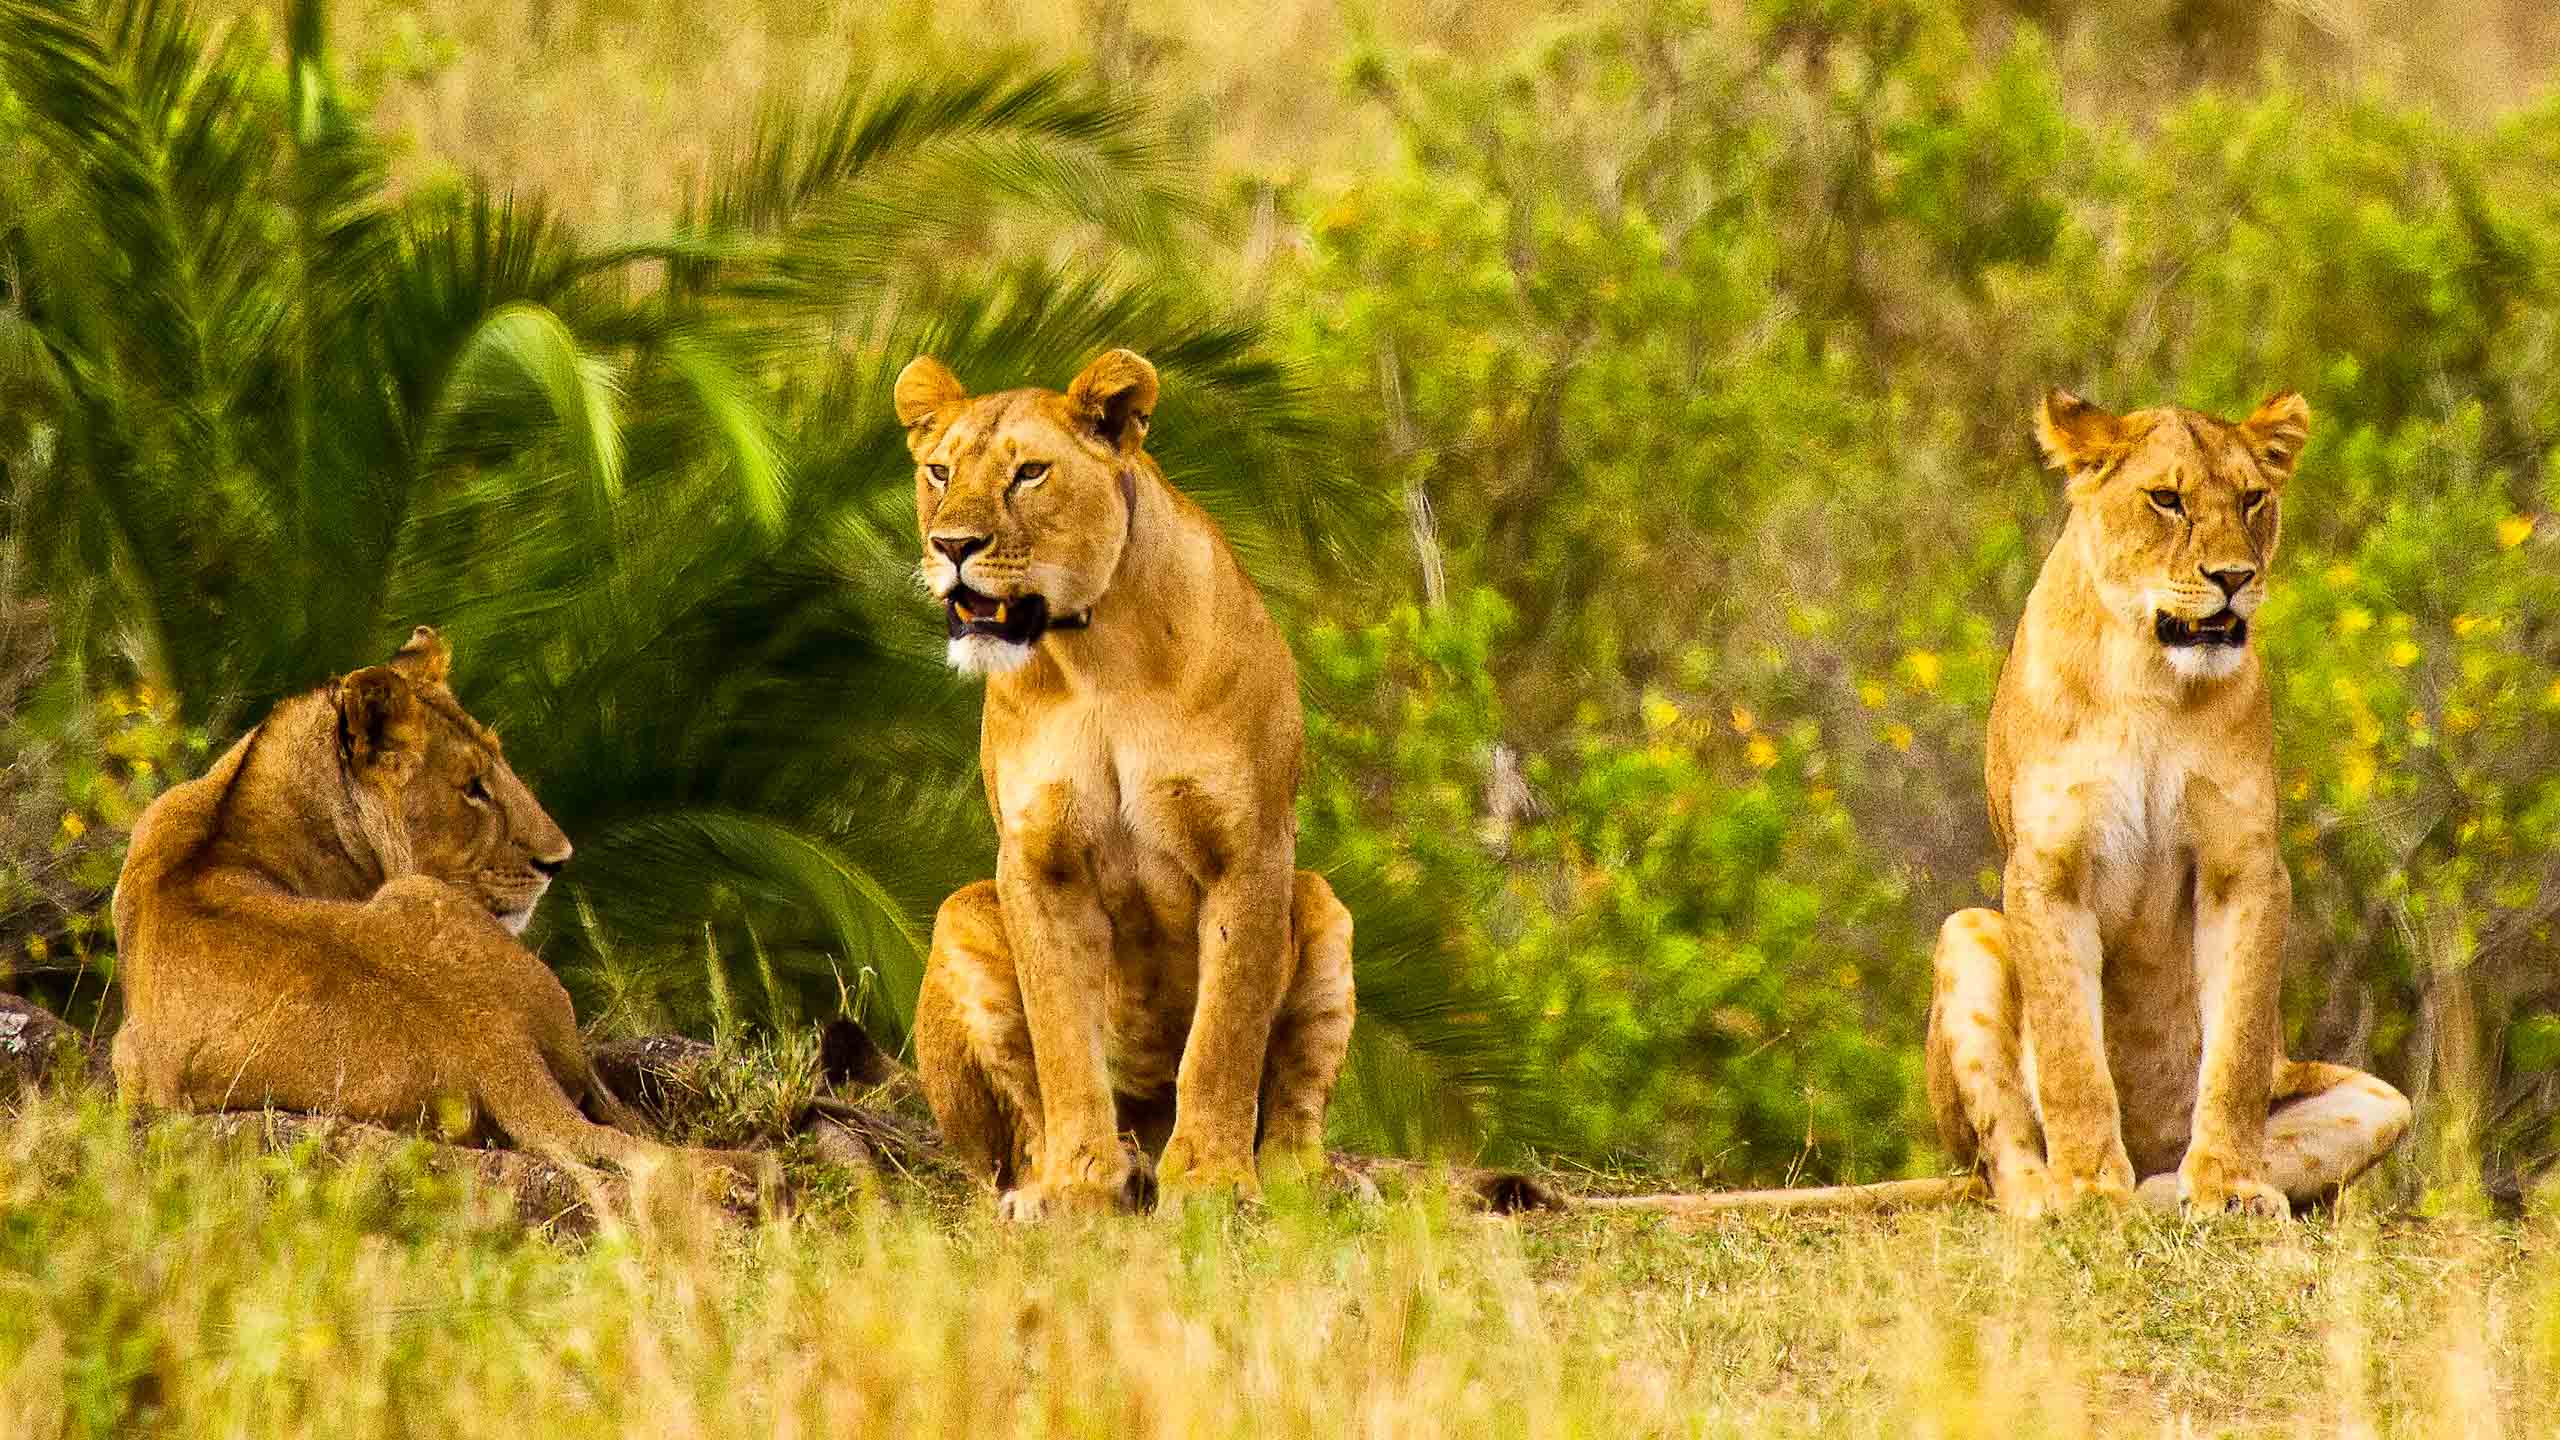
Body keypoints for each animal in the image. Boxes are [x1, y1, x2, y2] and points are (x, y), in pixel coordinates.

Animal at [893, 348, 1356, 1220]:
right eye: (939, 470)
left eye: (1029, 473)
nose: (952, 545)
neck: (1098, 656)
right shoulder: (1037, 862)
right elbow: (1062, 1044)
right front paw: (1079, 1184)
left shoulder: (1249, 851)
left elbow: (1223, 1037)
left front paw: (1210, 1182)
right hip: (961, 912)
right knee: (1015, 1135)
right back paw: (1056, 1185)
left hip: (1320, 903)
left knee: (1294, 1104)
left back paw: (1303, 1184)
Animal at [1924, 389, 2412, 1219]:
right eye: (2167, 499)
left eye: (2252, 499)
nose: (2234, 576)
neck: (2149, 674)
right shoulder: (2048, 871)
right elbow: (2071, 1057)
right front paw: (2088, 1185)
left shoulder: (2244, 868)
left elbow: (2237, 1048)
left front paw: (2227, 1186)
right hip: (1967, 933)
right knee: (2000, 1165)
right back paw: (2049, 1201)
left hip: (2386, 1102)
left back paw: (2173, 1191)